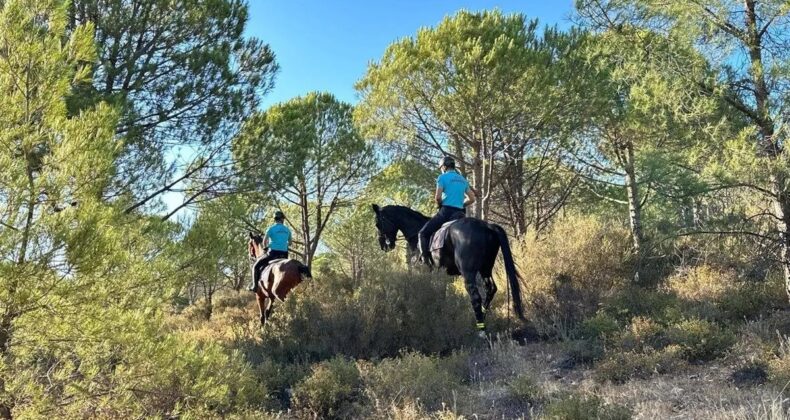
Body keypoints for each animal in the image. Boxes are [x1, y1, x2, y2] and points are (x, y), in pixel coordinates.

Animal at [372, 204, 524, 332]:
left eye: (377, 224)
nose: (384, 246)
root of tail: (487, 226)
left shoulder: (424, 272)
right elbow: (442, 293)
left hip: (468, 272)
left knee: (475, 296)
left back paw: (480, 329)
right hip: (485, 269)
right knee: (490, 289)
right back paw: (481, 319)